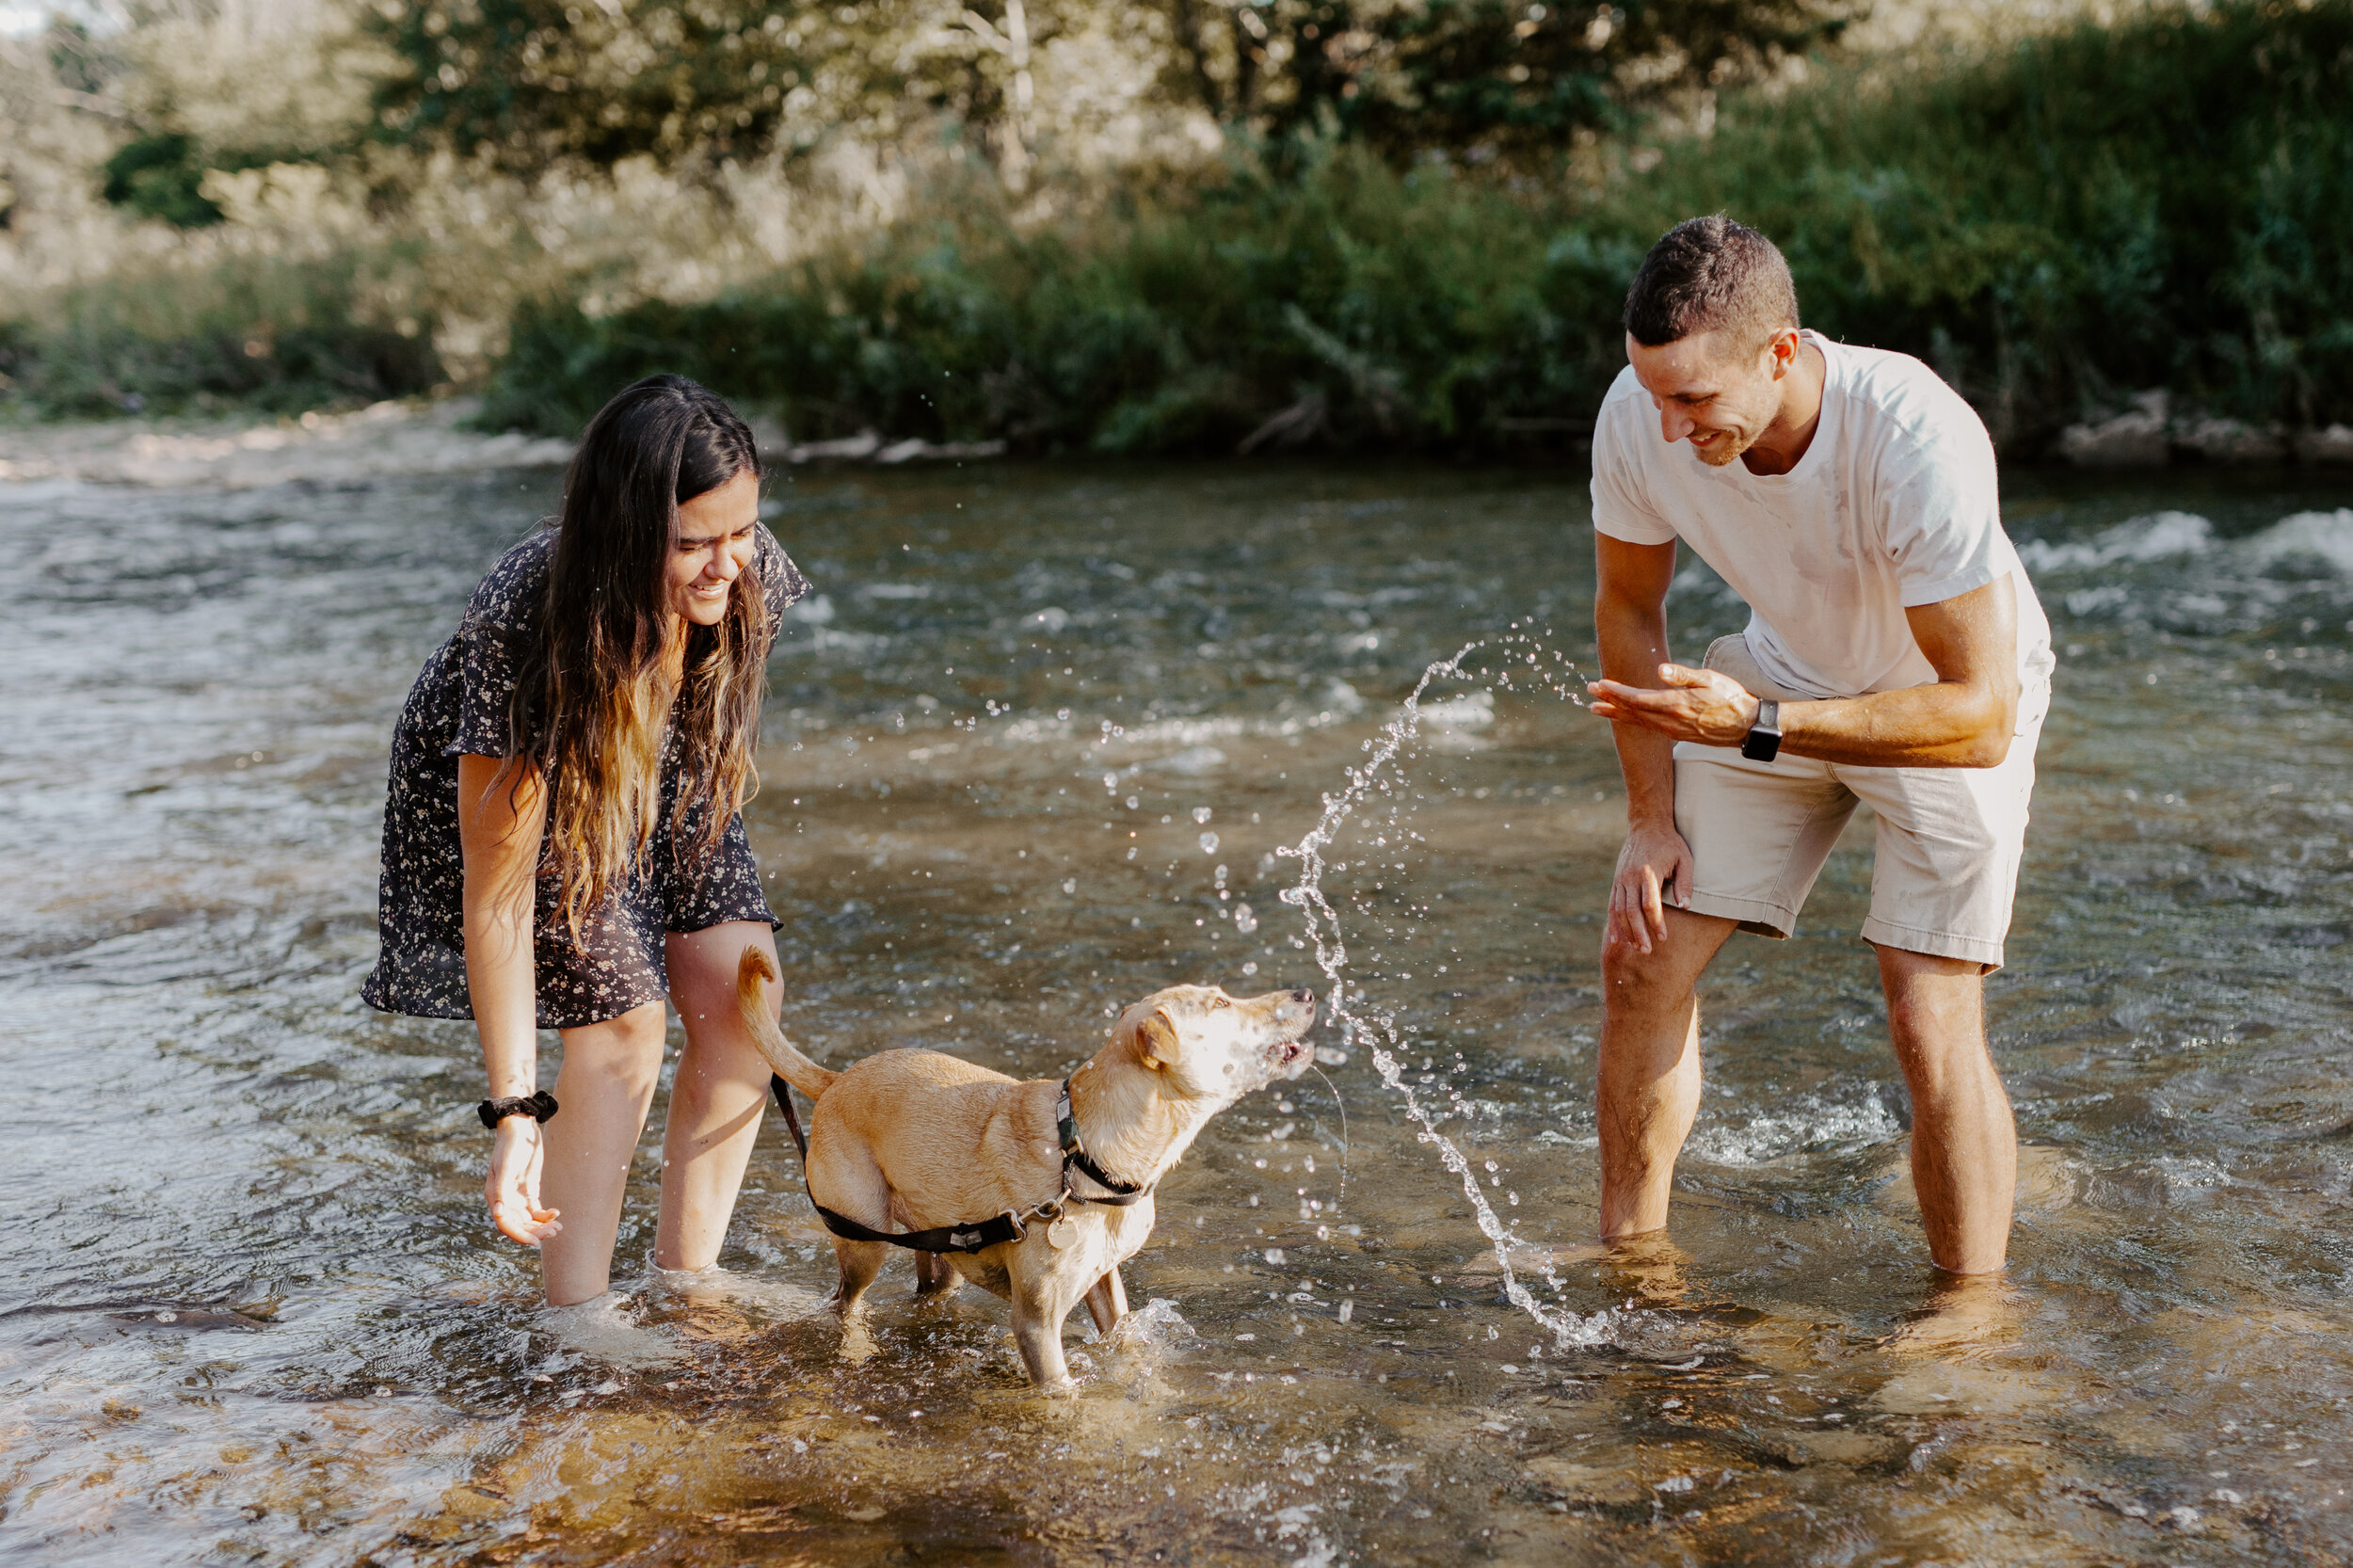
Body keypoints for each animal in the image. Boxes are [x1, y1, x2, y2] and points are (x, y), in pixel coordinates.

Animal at [739, 941, 1327, 1384]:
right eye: (1222, 1005)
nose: (1306, 992)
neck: (1082, 1156)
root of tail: (836, 1080)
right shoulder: (1036, 1322)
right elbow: (1061, 1391)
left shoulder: (1105, 1282)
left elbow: (1126, 1345)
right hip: (863, 1241)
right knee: (844, 1303)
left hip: (940, 1251)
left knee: (924, 1292)